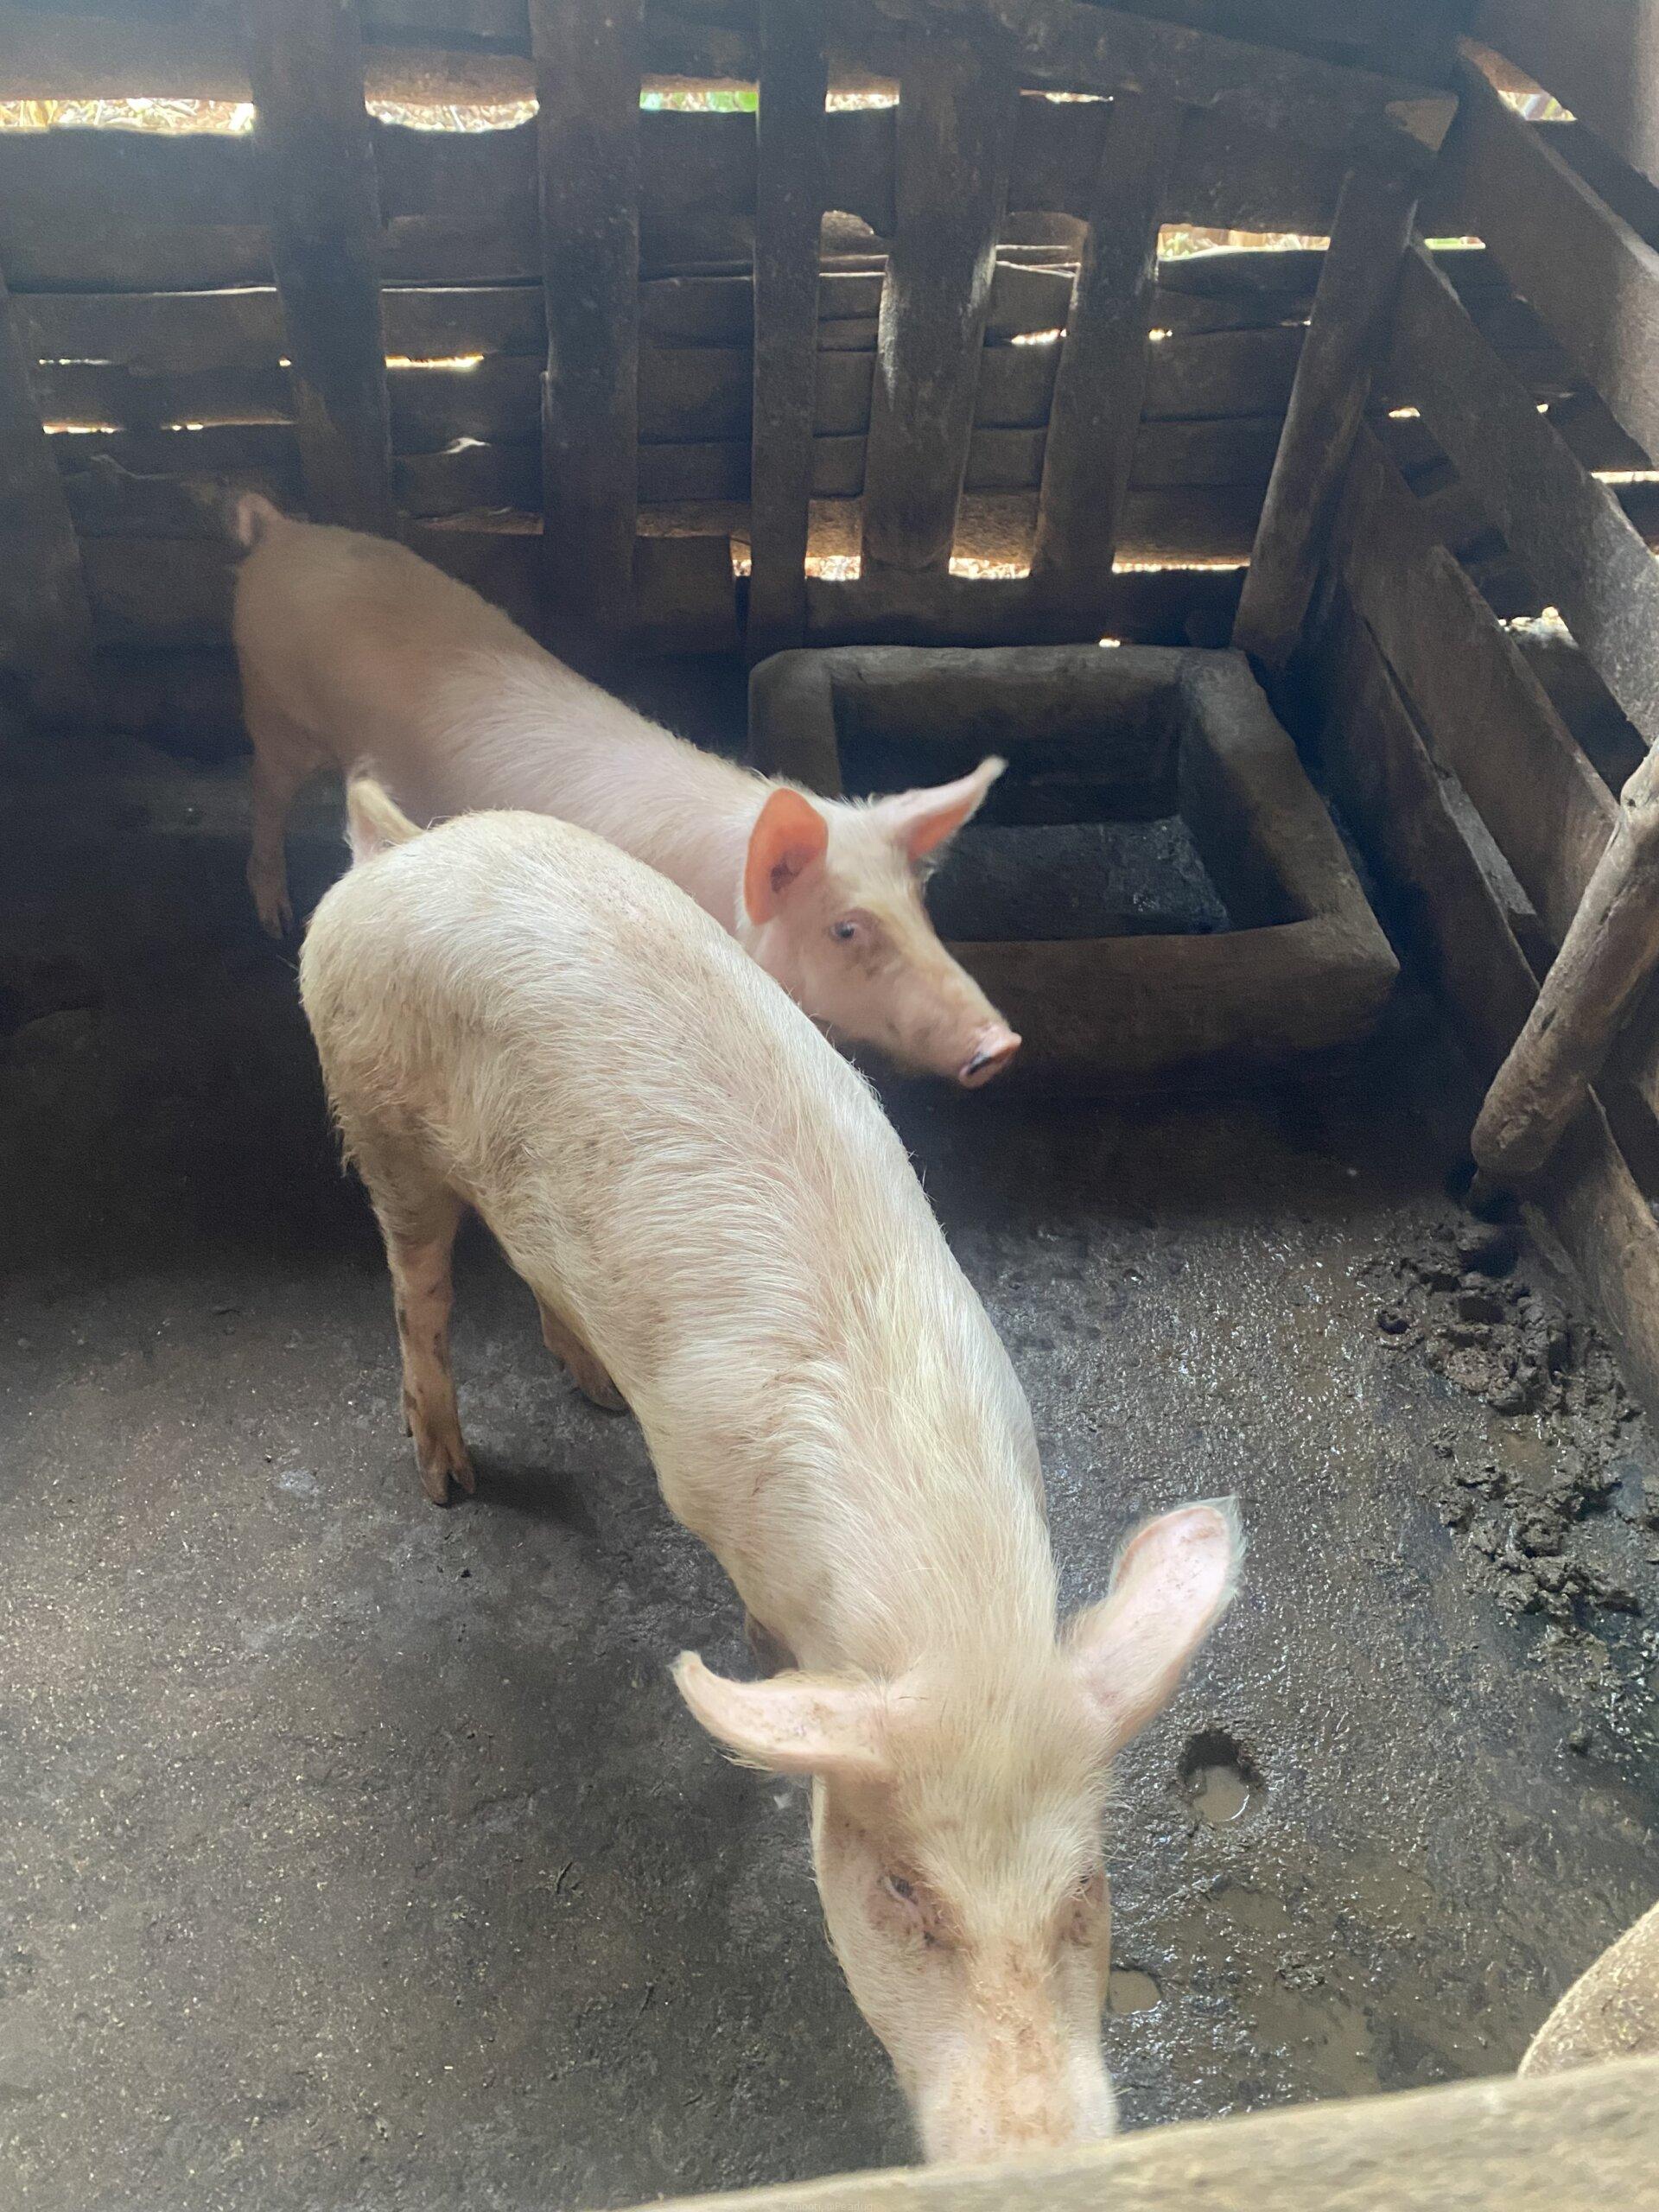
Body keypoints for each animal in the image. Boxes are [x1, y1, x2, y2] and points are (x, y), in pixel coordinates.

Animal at [234, 497, 1019, 1086]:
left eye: (919, 903)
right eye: (846, 929)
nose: (1002, 1044)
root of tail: (282, 532)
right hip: (272, 708)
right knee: (266, 800)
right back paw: (272, 918)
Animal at [299, 776, 1242, 2162]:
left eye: (1087, 1888)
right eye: (904, 1890)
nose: (1037, 2156)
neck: (949, 1604)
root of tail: (397, 846)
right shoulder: (711, 1499)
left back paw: (590, 1382)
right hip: (376, 1117)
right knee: (417, 1290)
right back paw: (449, 1480)